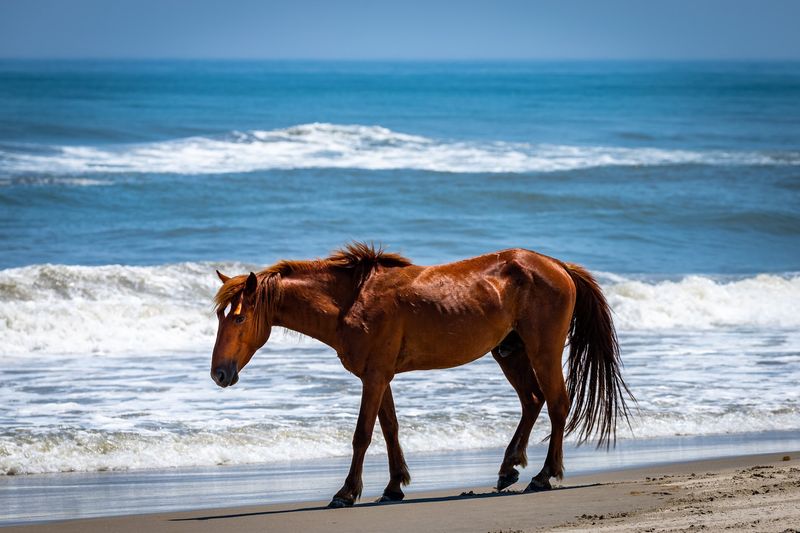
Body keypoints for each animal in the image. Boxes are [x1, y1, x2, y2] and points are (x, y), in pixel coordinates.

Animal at [211, 243, 632, 508]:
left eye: (240, 318)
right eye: (219, 316)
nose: (219, 373)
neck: (352, 301)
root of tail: (557, 265)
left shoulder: (375, 377)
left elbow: (363, 435)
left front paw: (347, 493)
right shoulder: (379, 376)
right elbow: (390, 429)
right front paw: (394, 486)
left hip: (542, 351)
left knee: (558, 404)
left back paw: (544, 476)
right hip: (508, 352)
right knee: (533, 401)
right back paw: (508, 469)